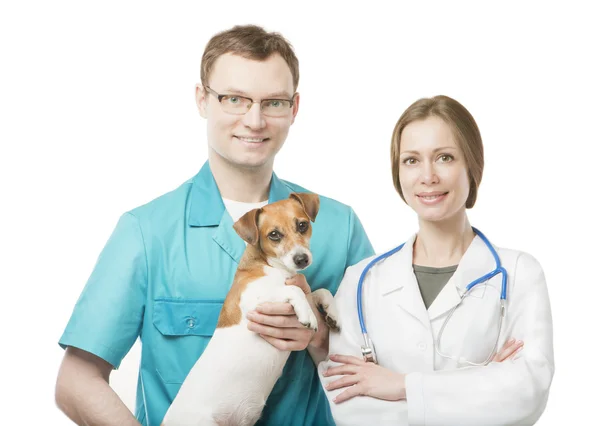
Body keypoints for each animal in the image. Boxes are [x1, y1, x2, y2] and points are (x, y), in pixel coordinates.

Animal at [161, 193, 338, 426]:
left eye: (302, 225)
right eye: (274, 235)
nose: (301, 259)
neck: (271, 267)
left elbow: (321, 291)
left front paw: (333, 312)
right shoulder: (254, 301)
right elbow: (293, 290)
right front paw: (308, 314)